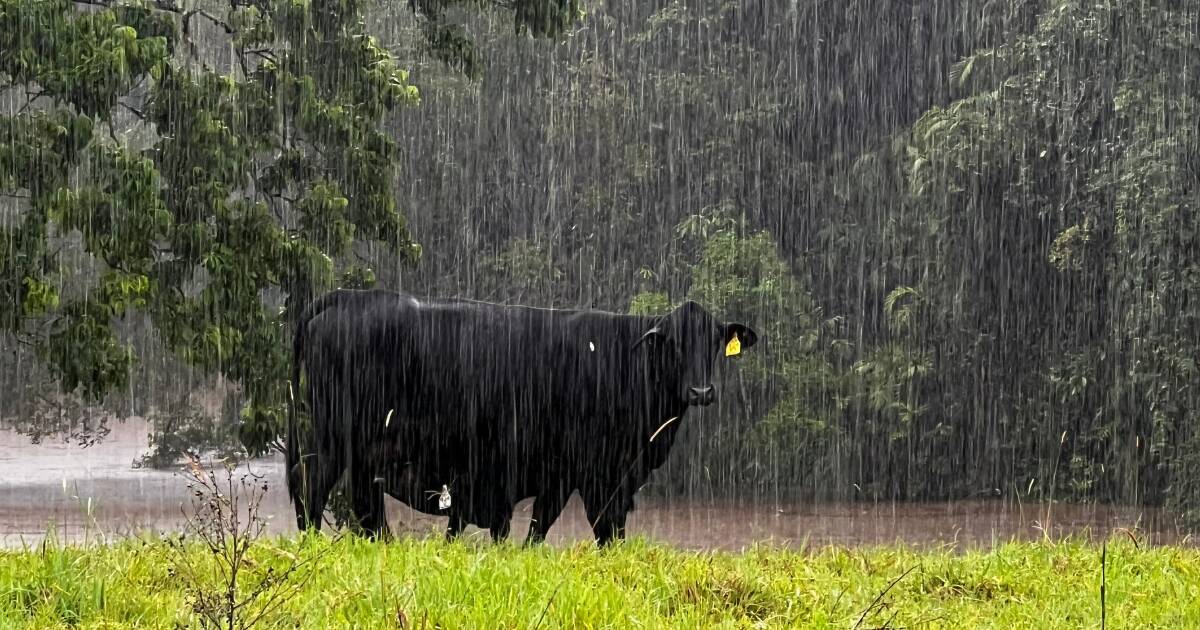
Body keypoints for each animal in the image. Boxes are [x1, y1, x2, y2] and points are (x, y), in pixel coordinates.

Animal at [285, 286, 753, 542]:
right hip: (338, 438)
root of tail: (350, 296)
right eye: (674, 345)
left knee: (360, 502)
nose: (701, 391)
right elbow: (579, 527)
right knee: (316, 485)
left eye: (714, 343)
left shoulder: (603, 476)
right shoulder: (584, 471)